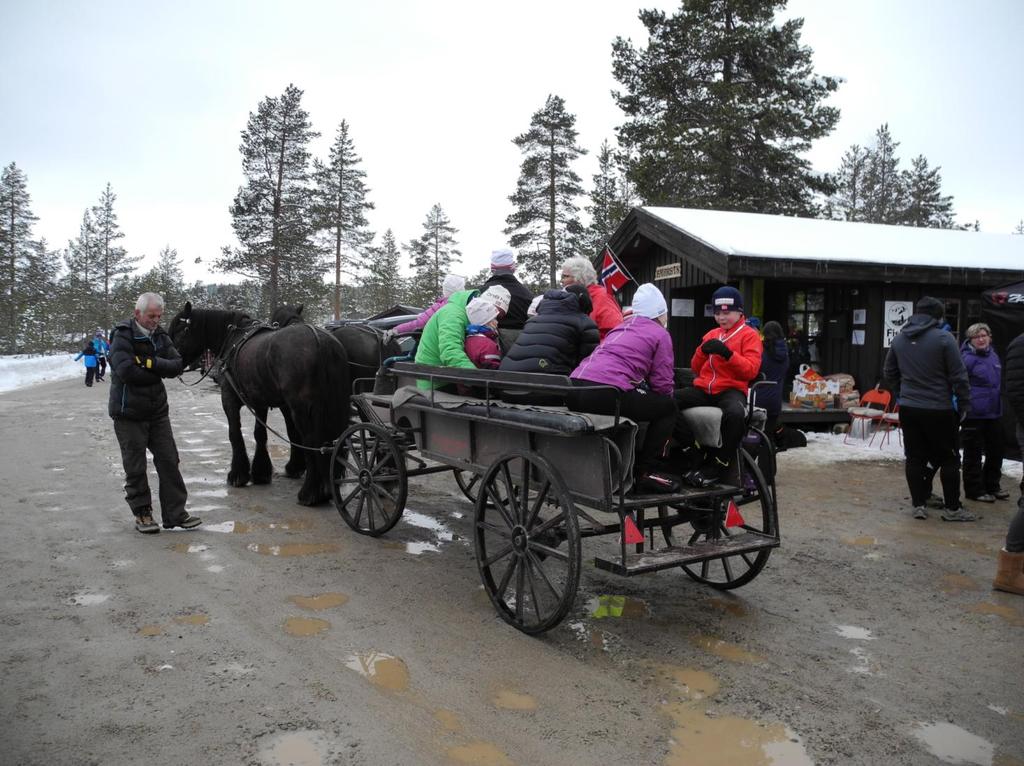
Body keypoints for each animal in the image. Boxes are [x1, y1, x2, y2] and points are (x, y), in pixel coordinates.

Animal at [171, 303, 352, 505]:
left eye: (180, 331)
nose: (174, 362)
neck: (232, 338)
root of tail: (321, 341)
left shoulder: (229, 399)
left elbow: (235, 434)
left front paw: (238, 474)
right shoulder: (260, 403)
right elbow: (260, 434)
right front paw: (261, 473)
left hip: (303, 410)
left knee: (311, 441)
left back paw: (310, 493)